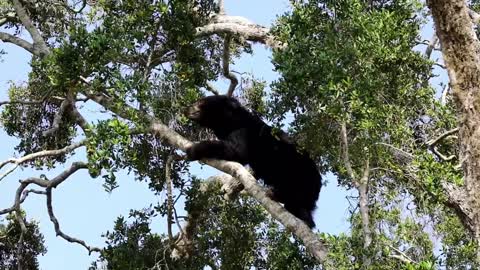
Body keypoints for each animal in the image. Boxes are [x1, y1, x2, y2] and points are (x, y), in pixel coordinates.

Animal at [186, 95, 320, 228]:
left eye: (201, 102)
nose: (188, 108)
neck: (230, 122)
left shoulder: (243, 132)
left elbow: (237, 152)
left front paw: (193, 149)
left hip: (298, 173)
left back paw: (275, 194)